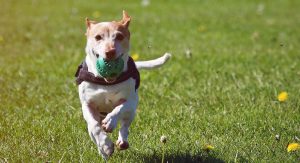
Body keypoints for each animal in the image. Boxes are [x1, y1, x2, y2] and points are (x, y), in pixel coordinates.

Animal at [76, 10, 171, 159]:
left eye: (119, 36)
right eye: (98, 37)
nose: (110, 51)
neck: (106, 82)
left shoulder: (131, 101)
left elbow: (119, 108)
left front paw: (110, 122)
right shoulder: (87, 104)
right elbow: (95, 127)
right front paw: (105, 145)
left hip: (131, 112)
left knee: (125, 125)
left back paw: (122, 141)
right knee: (94, 131)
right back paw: (103, 152)